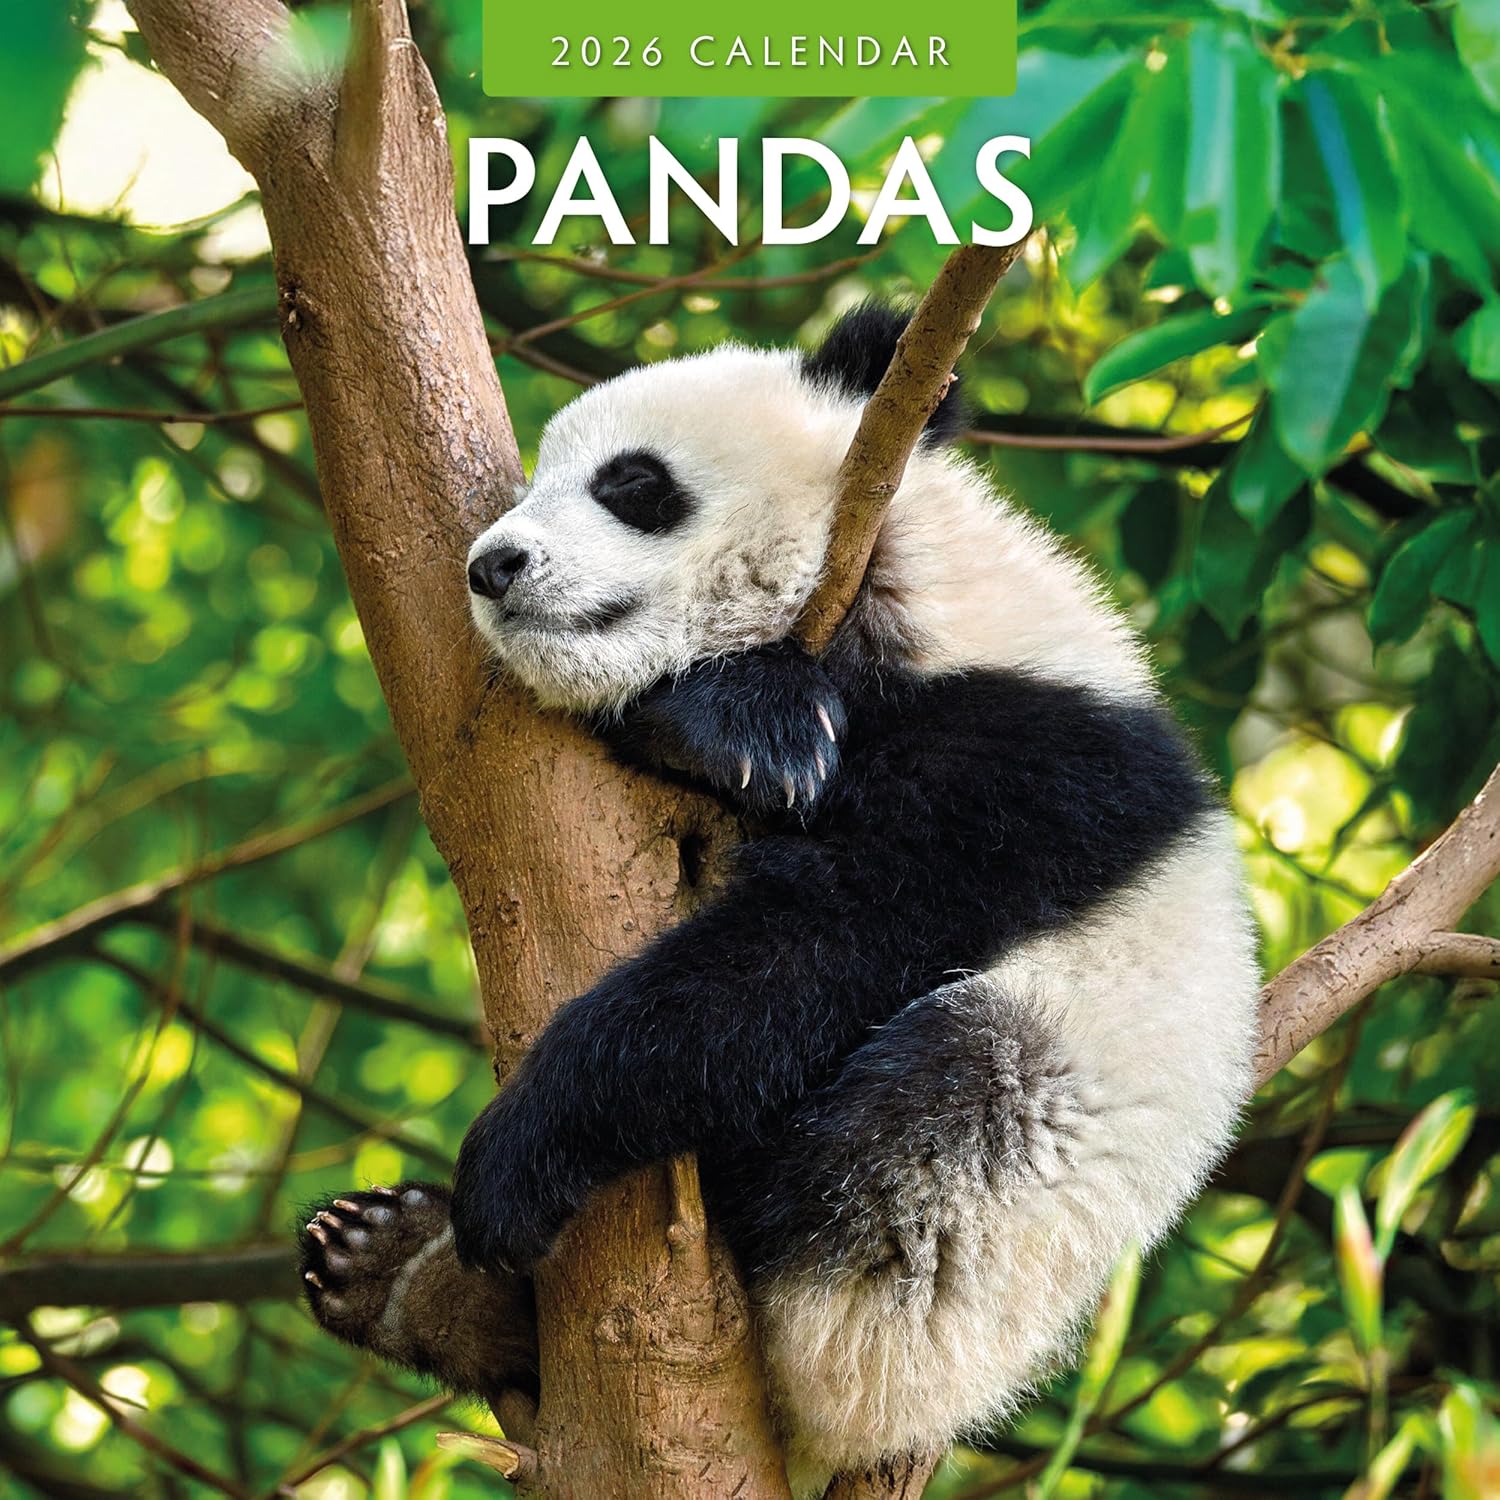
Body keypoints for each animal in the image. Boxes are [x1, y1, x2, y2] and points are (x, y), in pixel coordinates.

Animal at [299, 304, 1260, 1491]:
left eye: (633, 484)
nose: (493, 563)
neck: (900, 587)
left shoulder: (1028, 763)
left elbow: (826, 941)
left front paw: (519, 1150)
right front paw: (726, 730)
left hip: (1001, 1208)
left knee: (934, 1109)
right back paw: (395, 1271)